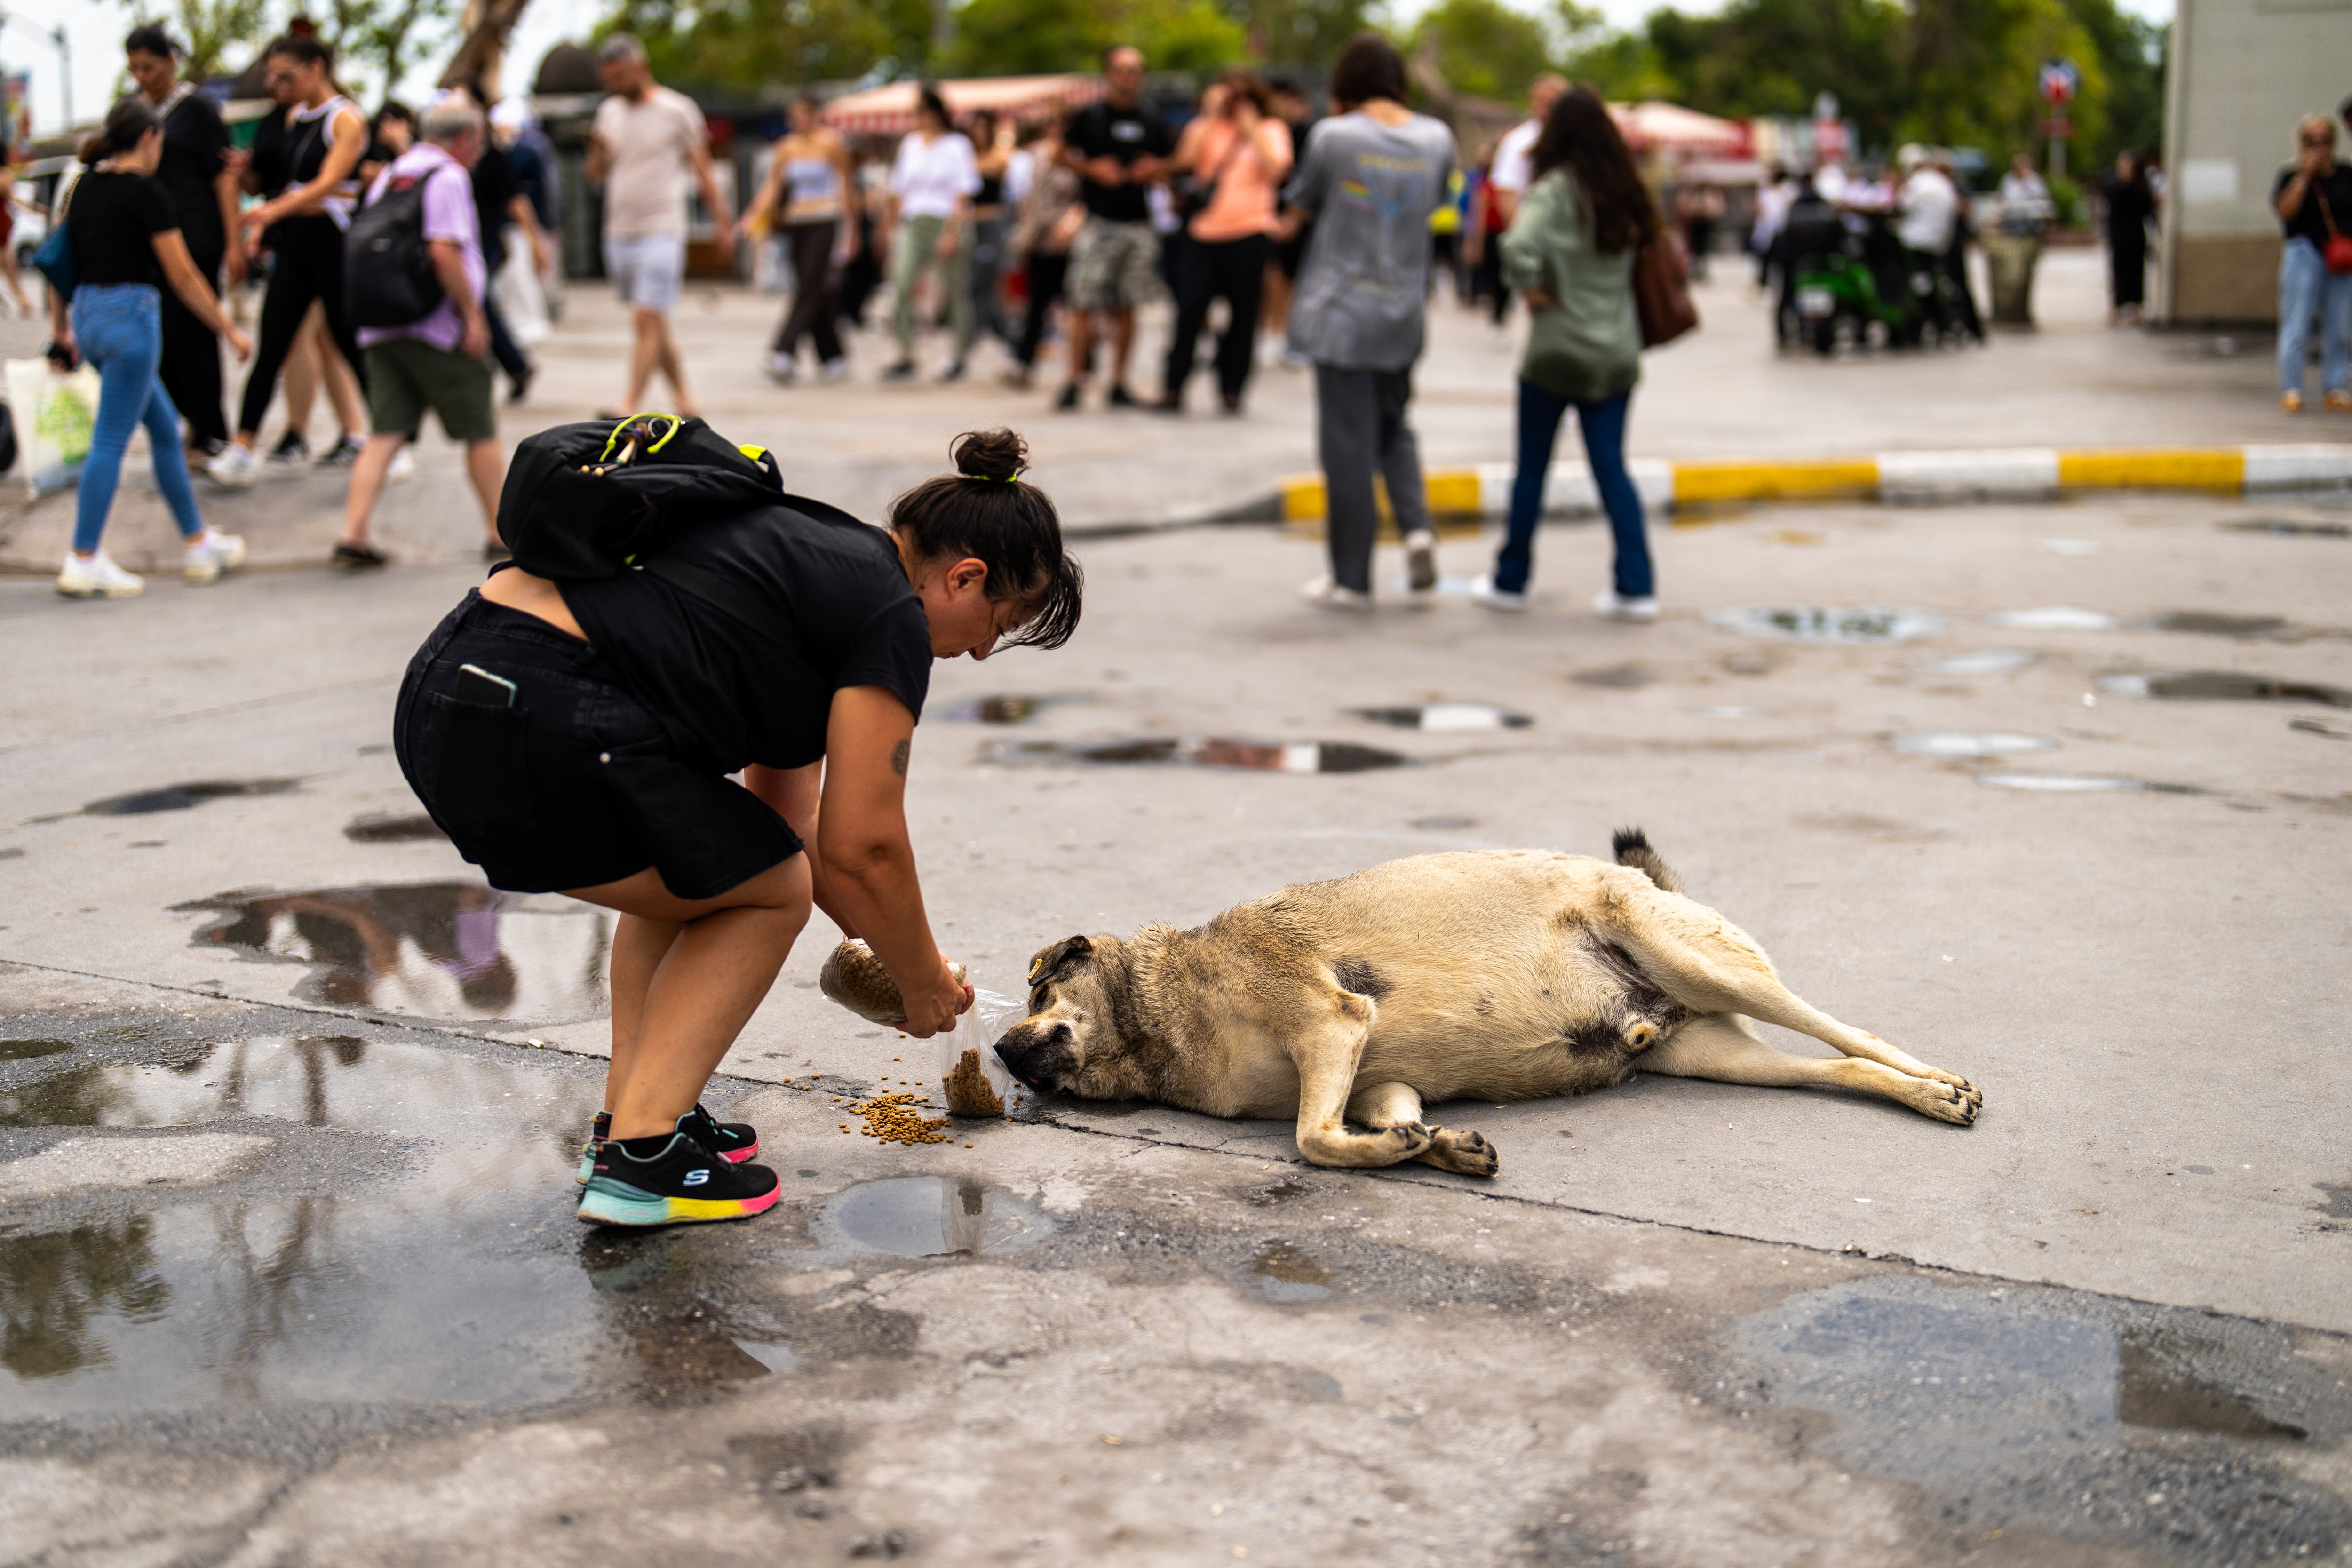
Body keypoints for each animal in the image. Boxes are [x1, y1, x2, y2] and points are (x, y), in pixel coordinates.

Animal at [993, 832, 1985, 1175]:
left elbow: (1312, 1140)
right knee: (1838, 1066)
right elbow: (1379, 1119)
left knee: (1854, 1029)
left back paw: (1939, 1084)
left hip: (1700, 961)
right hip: (1713, 1053)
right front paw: (1432, 1143)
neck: (1159, 1016)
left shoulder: (1330, 1023)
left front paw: (1395, 1151)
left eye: (1040, 988)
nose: (1000, 1050)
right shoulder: (1368, 1074)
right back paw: (1916, 1092)